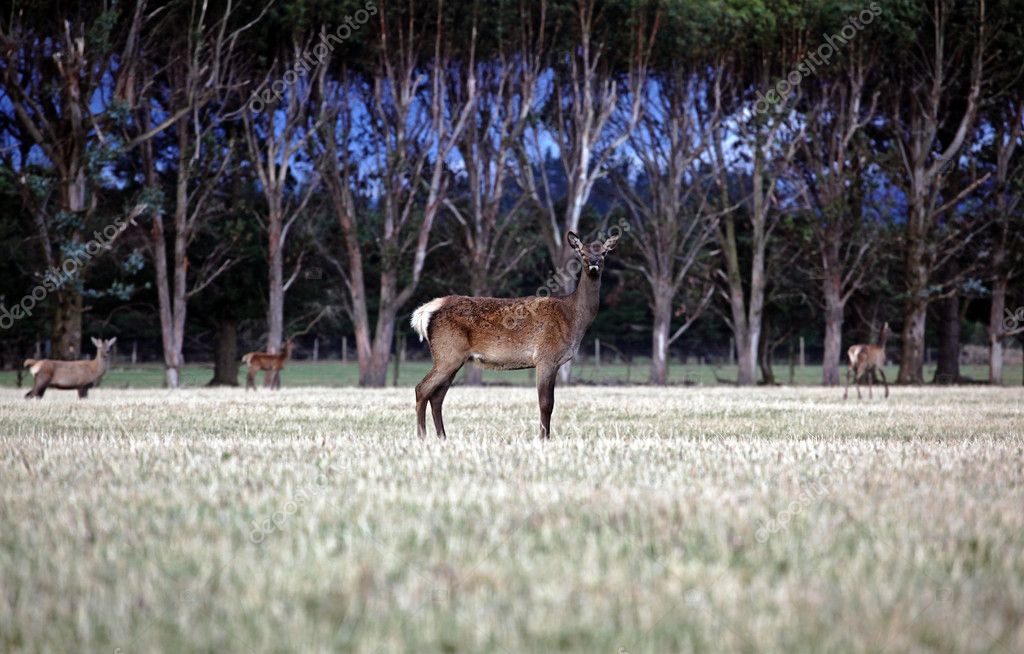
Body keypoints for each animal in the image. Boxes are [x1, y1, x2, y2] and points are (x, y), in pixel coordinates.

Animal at [410, 231, 618, 440]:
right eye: (582, 253)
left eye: (605, 252)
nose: (594, 262)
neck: (573, 318)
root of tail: (425, 311)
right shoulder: (545, 357)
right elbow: (546, 403)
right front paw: (543, 439)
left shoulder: (555, 362)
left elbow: (550, 403)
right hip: (447, 353)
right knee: (422, 388)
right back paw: (421, 437)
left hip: (453, 358)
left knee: (437, 396)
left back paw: (442, 437)